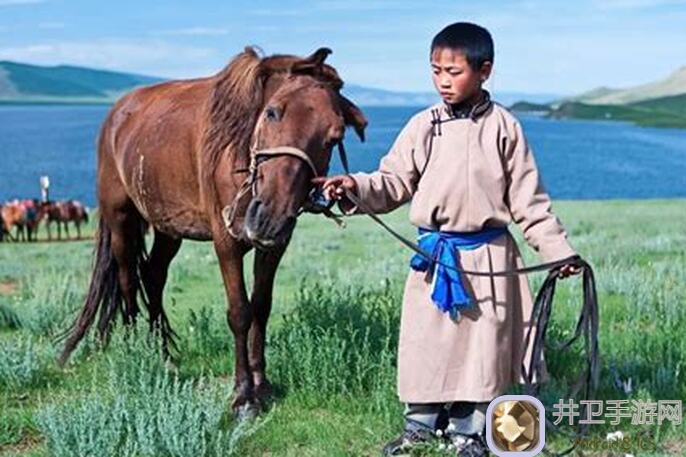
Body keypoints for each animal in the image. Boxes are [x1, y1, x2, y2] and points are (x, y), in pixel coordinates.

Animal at [57, 46, 368, 414]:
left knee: (153, 276)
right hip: (121, 219)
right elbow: (240, 312)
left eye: (335, 137)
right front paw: (243, 396)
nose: (270, 217)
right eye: (273, 112)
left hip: (168, 228)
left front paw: (262, 385)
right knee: (127, 279)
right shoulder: (226, 242)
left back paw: (161, 352)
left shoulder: (273, 246)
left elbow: (261, 308)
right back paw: (134, 352)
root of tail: (116, 115)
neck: (239, 155)